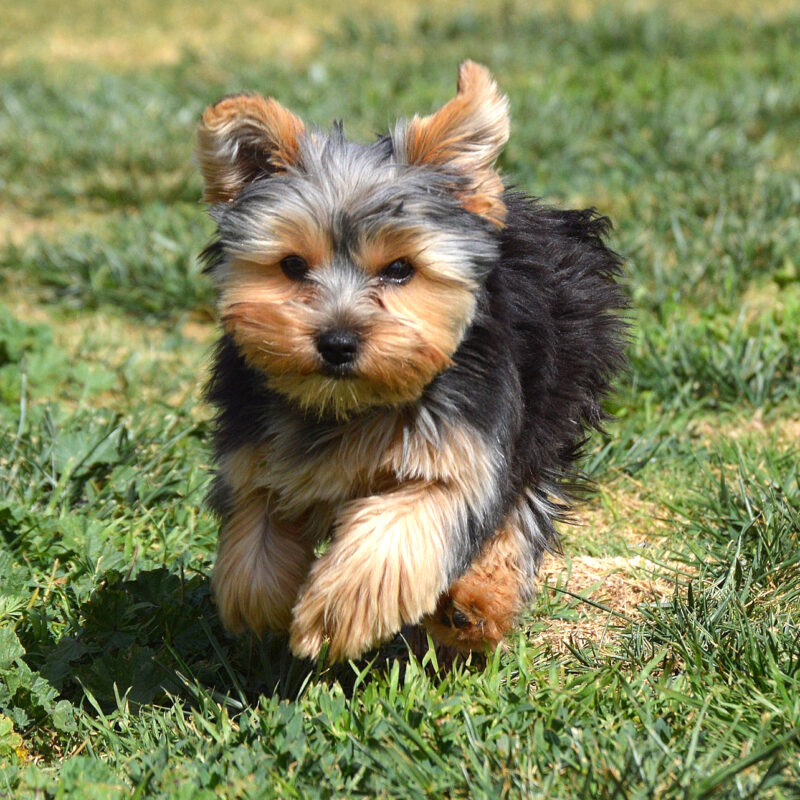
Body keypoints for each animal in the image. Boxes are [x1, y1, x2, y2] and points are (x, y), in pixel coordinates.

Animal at [194, 62, 624, 664]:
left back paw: (475, 607)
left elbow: (402, 525)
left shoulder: (459, 447)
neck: (352, 404)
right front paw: (264, 608)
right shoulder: (254, 449)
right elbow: (255, 537)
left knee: (522, 501)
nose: (337, 342)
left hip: (555, 391)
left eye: (400, 269)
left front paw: (336, 611)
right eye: (292, 265)